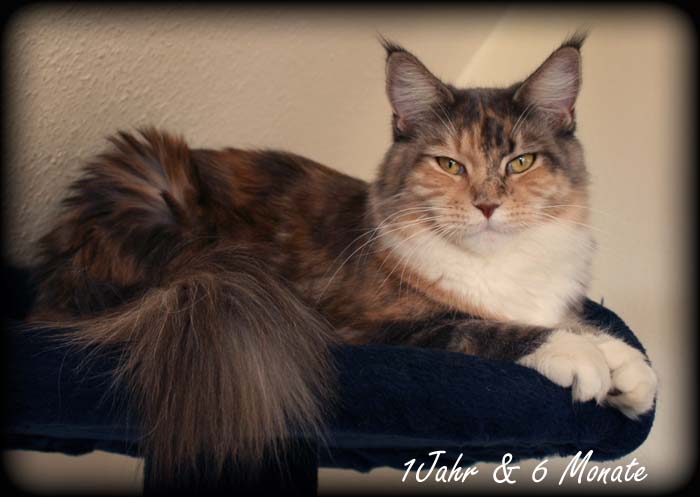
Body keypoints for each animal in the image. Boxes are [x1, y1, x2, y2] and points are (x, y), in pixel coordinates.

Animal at [29, 34, 657, 479]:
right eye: (449, 164)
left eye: (521, 162)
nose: (486, 206)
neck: (498, 266)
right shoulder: (362, 324)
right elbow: (482, 326)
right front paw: (580, 357)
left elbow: (575, 322)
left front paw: (627, 368)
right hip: (157, 191)